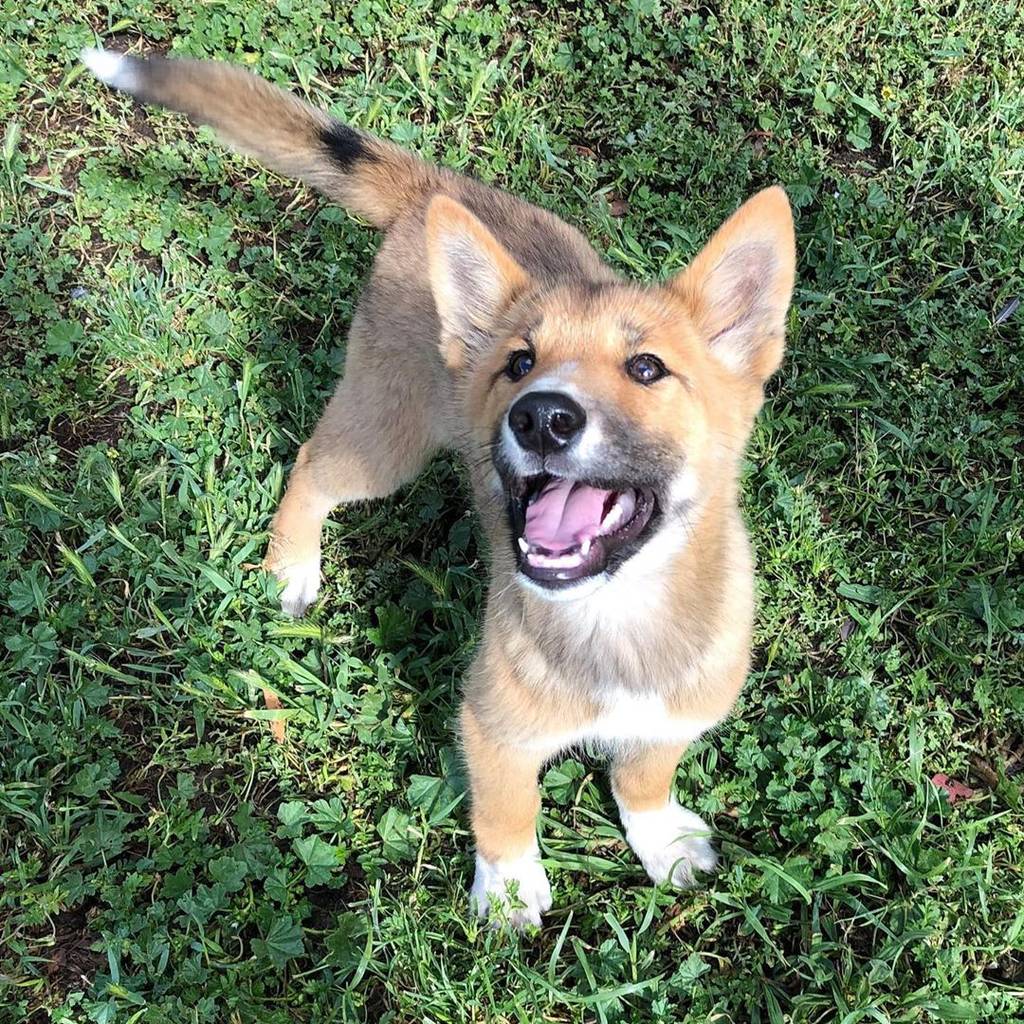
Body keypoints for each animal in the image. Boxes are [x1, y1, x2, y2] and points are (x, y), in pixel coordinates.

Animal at [83, 48, 794, 929]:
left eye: (647, 368)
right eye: (519, 362)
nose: (541, 416)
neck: (617, 618)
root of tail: (433, 189)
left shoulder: (672, 722)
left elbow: (642, 778)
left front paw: (659, 838)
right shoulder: (492, 727)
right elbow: (507, 811)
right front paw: (512, 889)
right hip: (384, 437)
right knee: (311, 465)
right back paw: (292, 568)